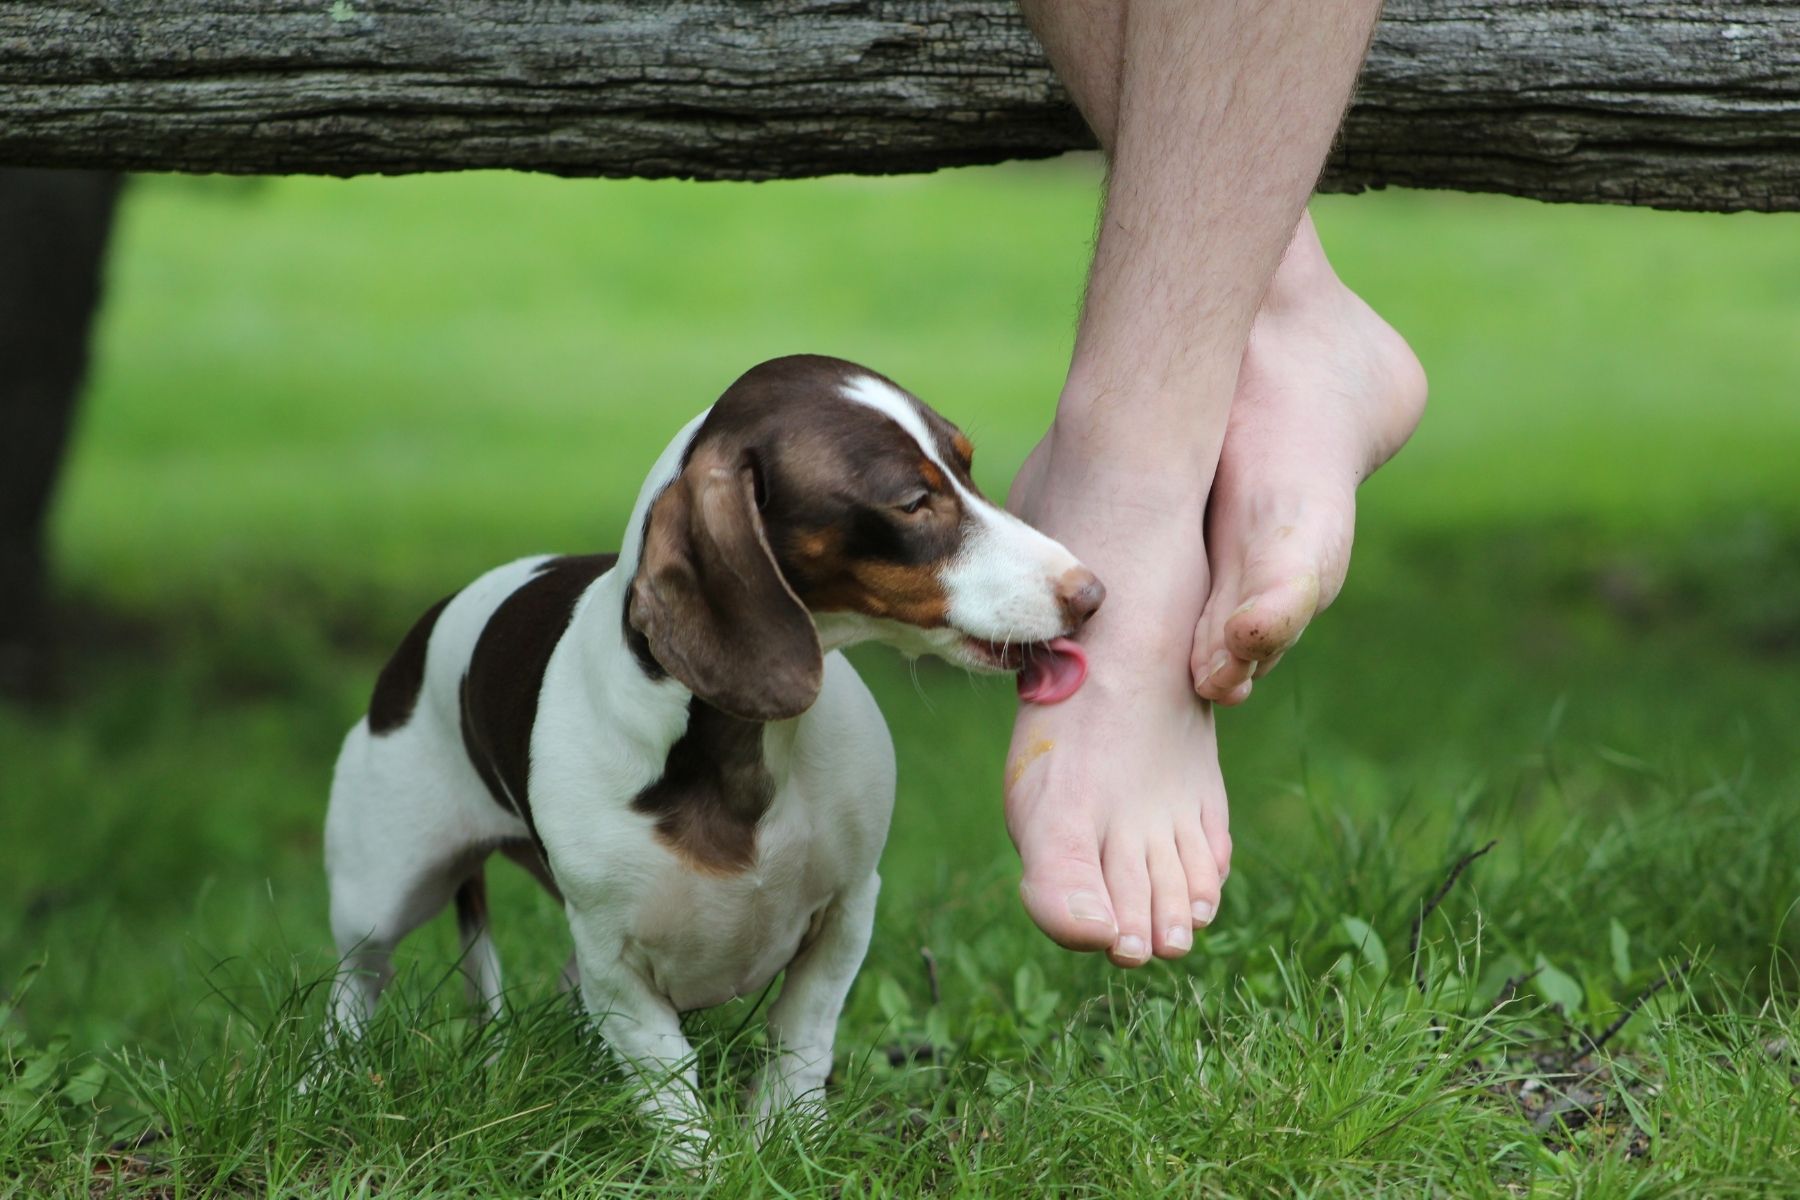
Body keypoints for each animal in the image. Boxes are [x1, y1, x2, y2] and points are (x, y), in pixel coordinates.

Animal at [331, 356, 1101, 1151]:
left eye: (967, 467)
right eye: (914, 501)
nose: (1091, 594)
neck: (741, 755)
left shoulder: (849, 905)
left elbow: (802, 1034)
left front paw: (785, 1135)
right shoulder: (614, 961)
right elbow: (665, 1077)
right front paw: (700, 1160)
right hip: (383, 888)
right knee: (357, 982)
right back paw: (332, 1078)